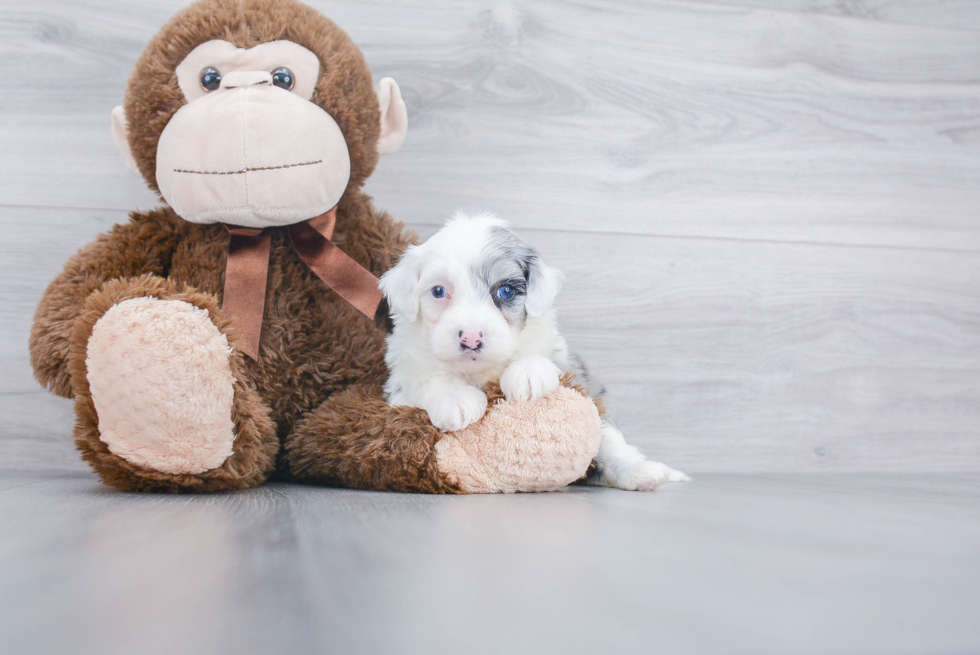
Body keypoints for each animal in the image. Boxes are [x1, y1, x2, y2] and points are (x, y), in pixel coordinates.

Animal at [378, 213, 688, 490]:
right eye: (438, 291)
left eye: (505, 291)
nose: (471, 338)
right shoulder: (400, 383)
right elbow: (427, 378)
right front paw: (456, 398)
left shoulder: (563, 359)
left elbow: (542, 356)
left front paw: (527, 374)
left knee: (611, 444)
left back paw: (642, 472)